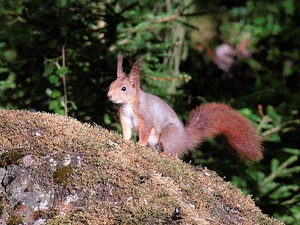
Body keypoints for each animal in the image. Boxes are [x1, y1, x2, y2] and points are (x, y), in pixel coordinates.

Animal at [107, 53, 262, 161]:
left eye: (123, 88)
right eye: (111, 84)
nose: (109, 95)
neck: (129, 105)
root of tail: (183, 140)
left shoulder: (146, 117)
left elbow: (145, 132)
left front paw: (139, 145)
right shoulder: (125, 119)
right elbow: (127, 132)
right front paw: (125, 140)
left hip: (168, 133)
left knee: (172, 153)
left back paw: (164, 153)